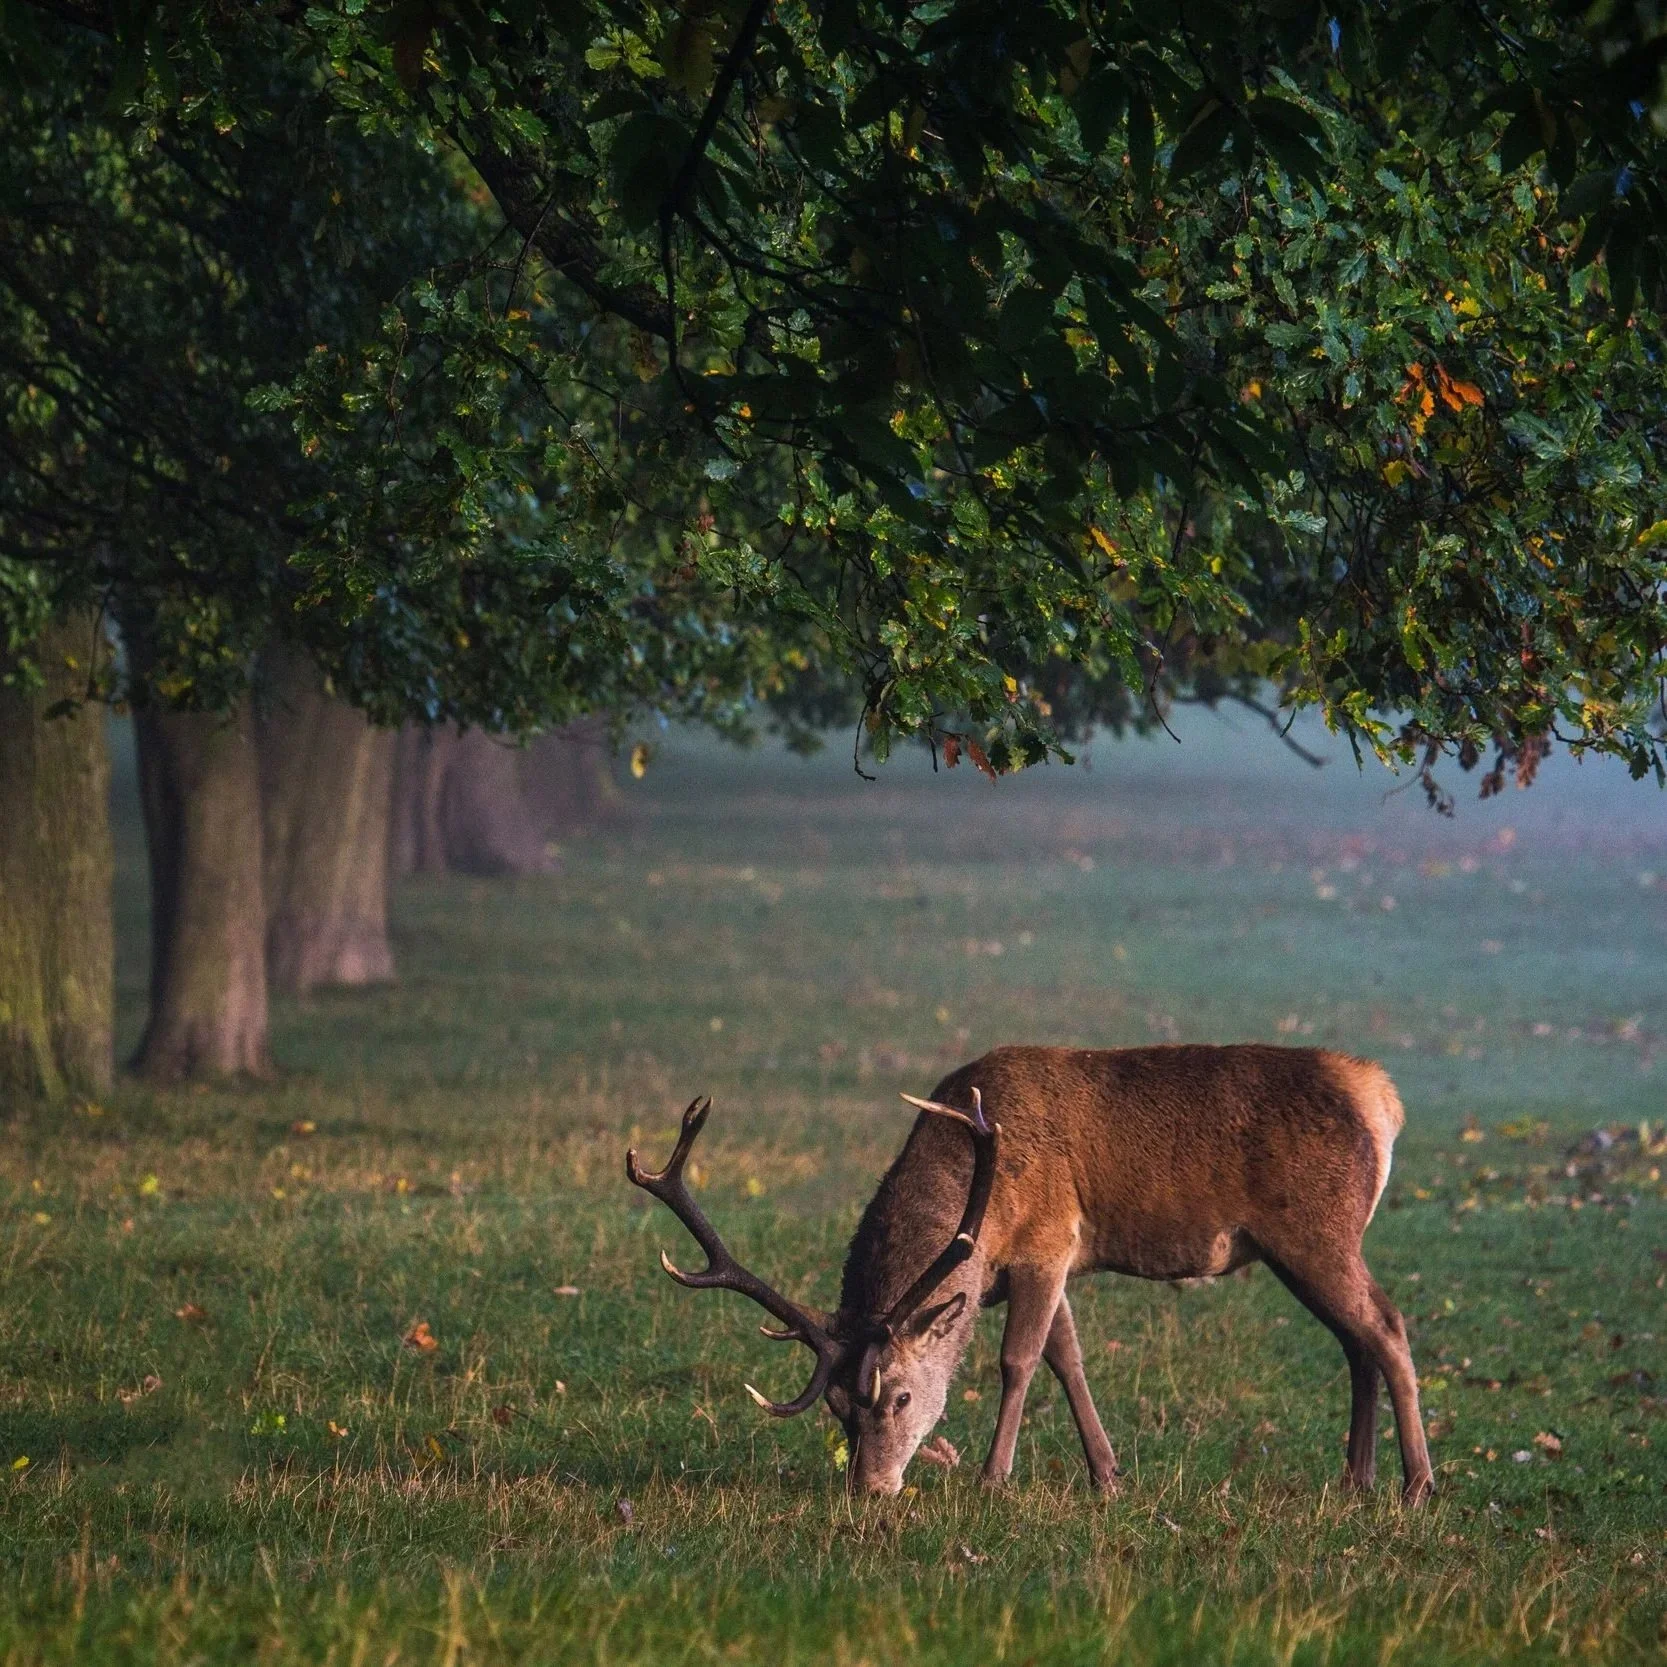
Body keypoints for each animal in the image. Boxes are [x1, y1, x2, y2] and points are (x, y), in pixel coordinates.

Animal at [626, 1043, 1434, 1503]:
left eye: (899, 1396)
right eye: (836, 1407)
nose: (869, 1489)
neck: (985, 1204)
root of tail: (1382, 1098)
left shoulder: (1047, 1239)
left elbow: (1018, 1360)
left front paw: (993, 1477)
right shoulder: (1040, 1264)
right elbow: (1066, 1357)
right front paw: (1107, 1476)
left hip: (1318, 1229)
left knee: (1387, 1325)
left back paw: (1416, 1483)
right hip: (1300, 1247)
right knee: (1354, 1340)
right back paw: (1356, 1477)